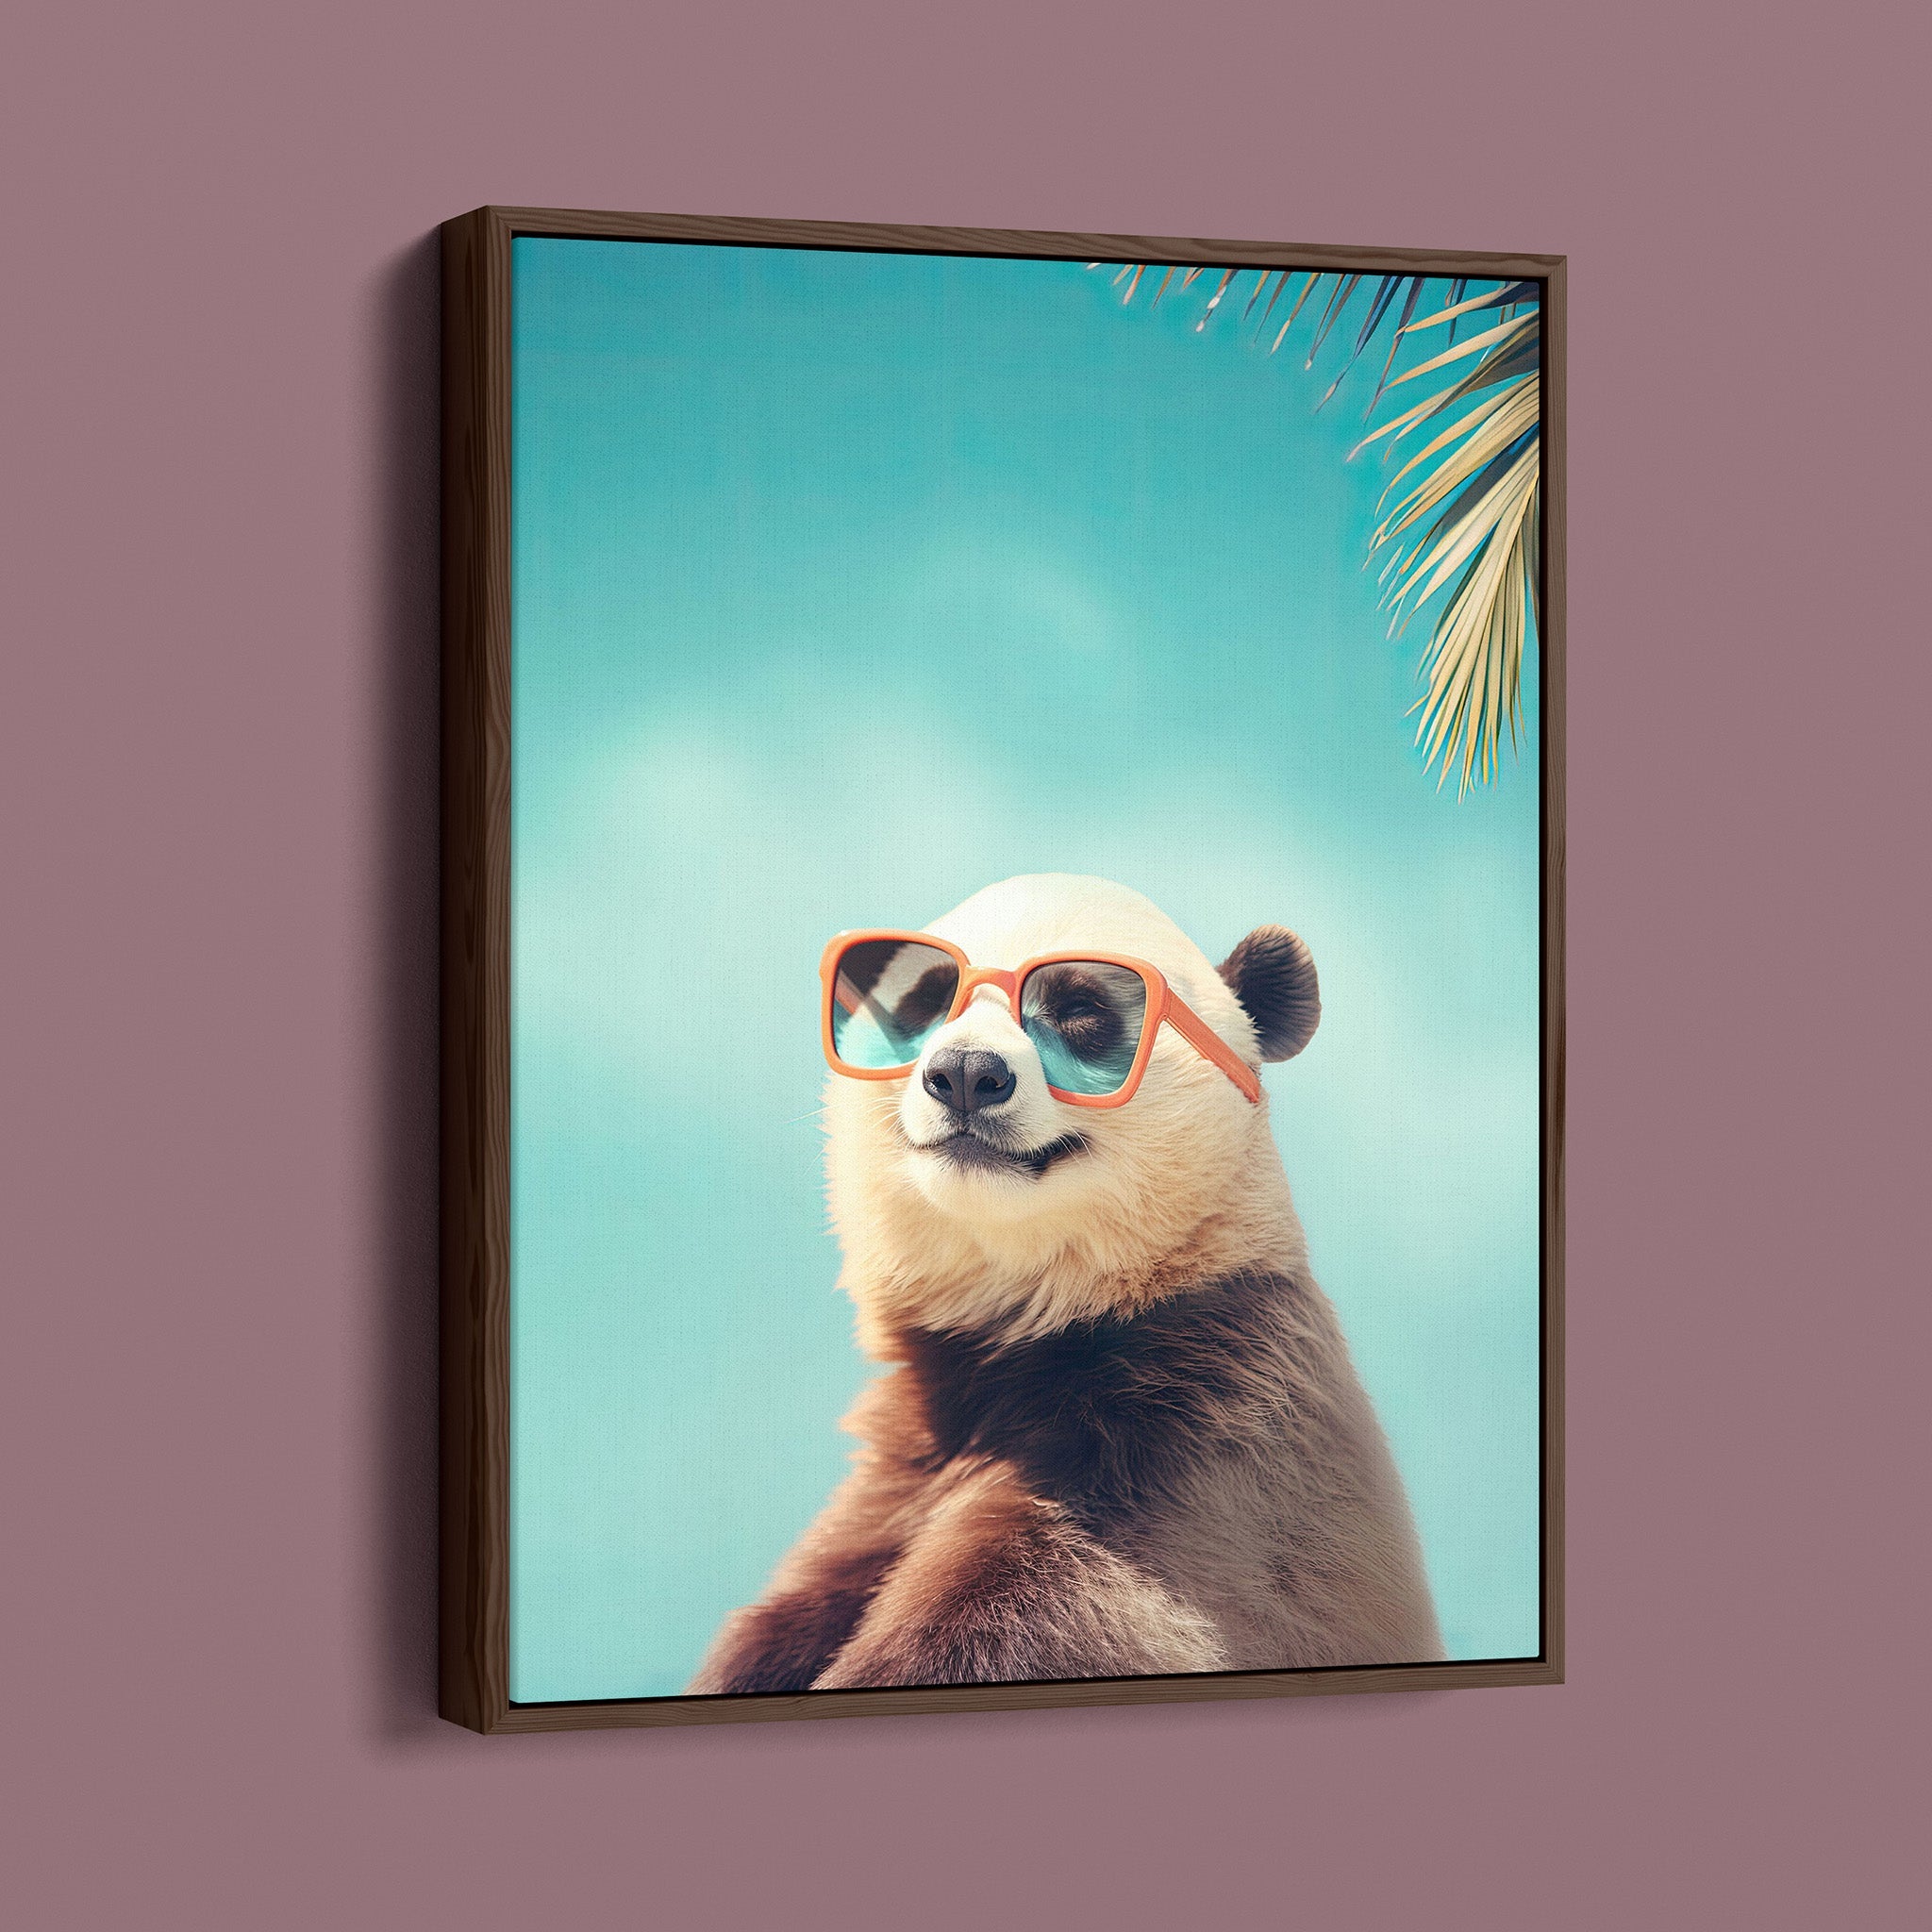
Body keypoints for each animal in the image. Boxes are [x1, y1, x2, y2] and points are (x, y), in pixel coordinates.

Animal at [690, 874, 1441, 1693]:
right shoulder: (896, 1478)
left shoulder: (1203, 1441)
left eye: (1083, 1011)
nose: (966, 1075)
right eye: (930, 998)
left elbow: (1037, 1616)